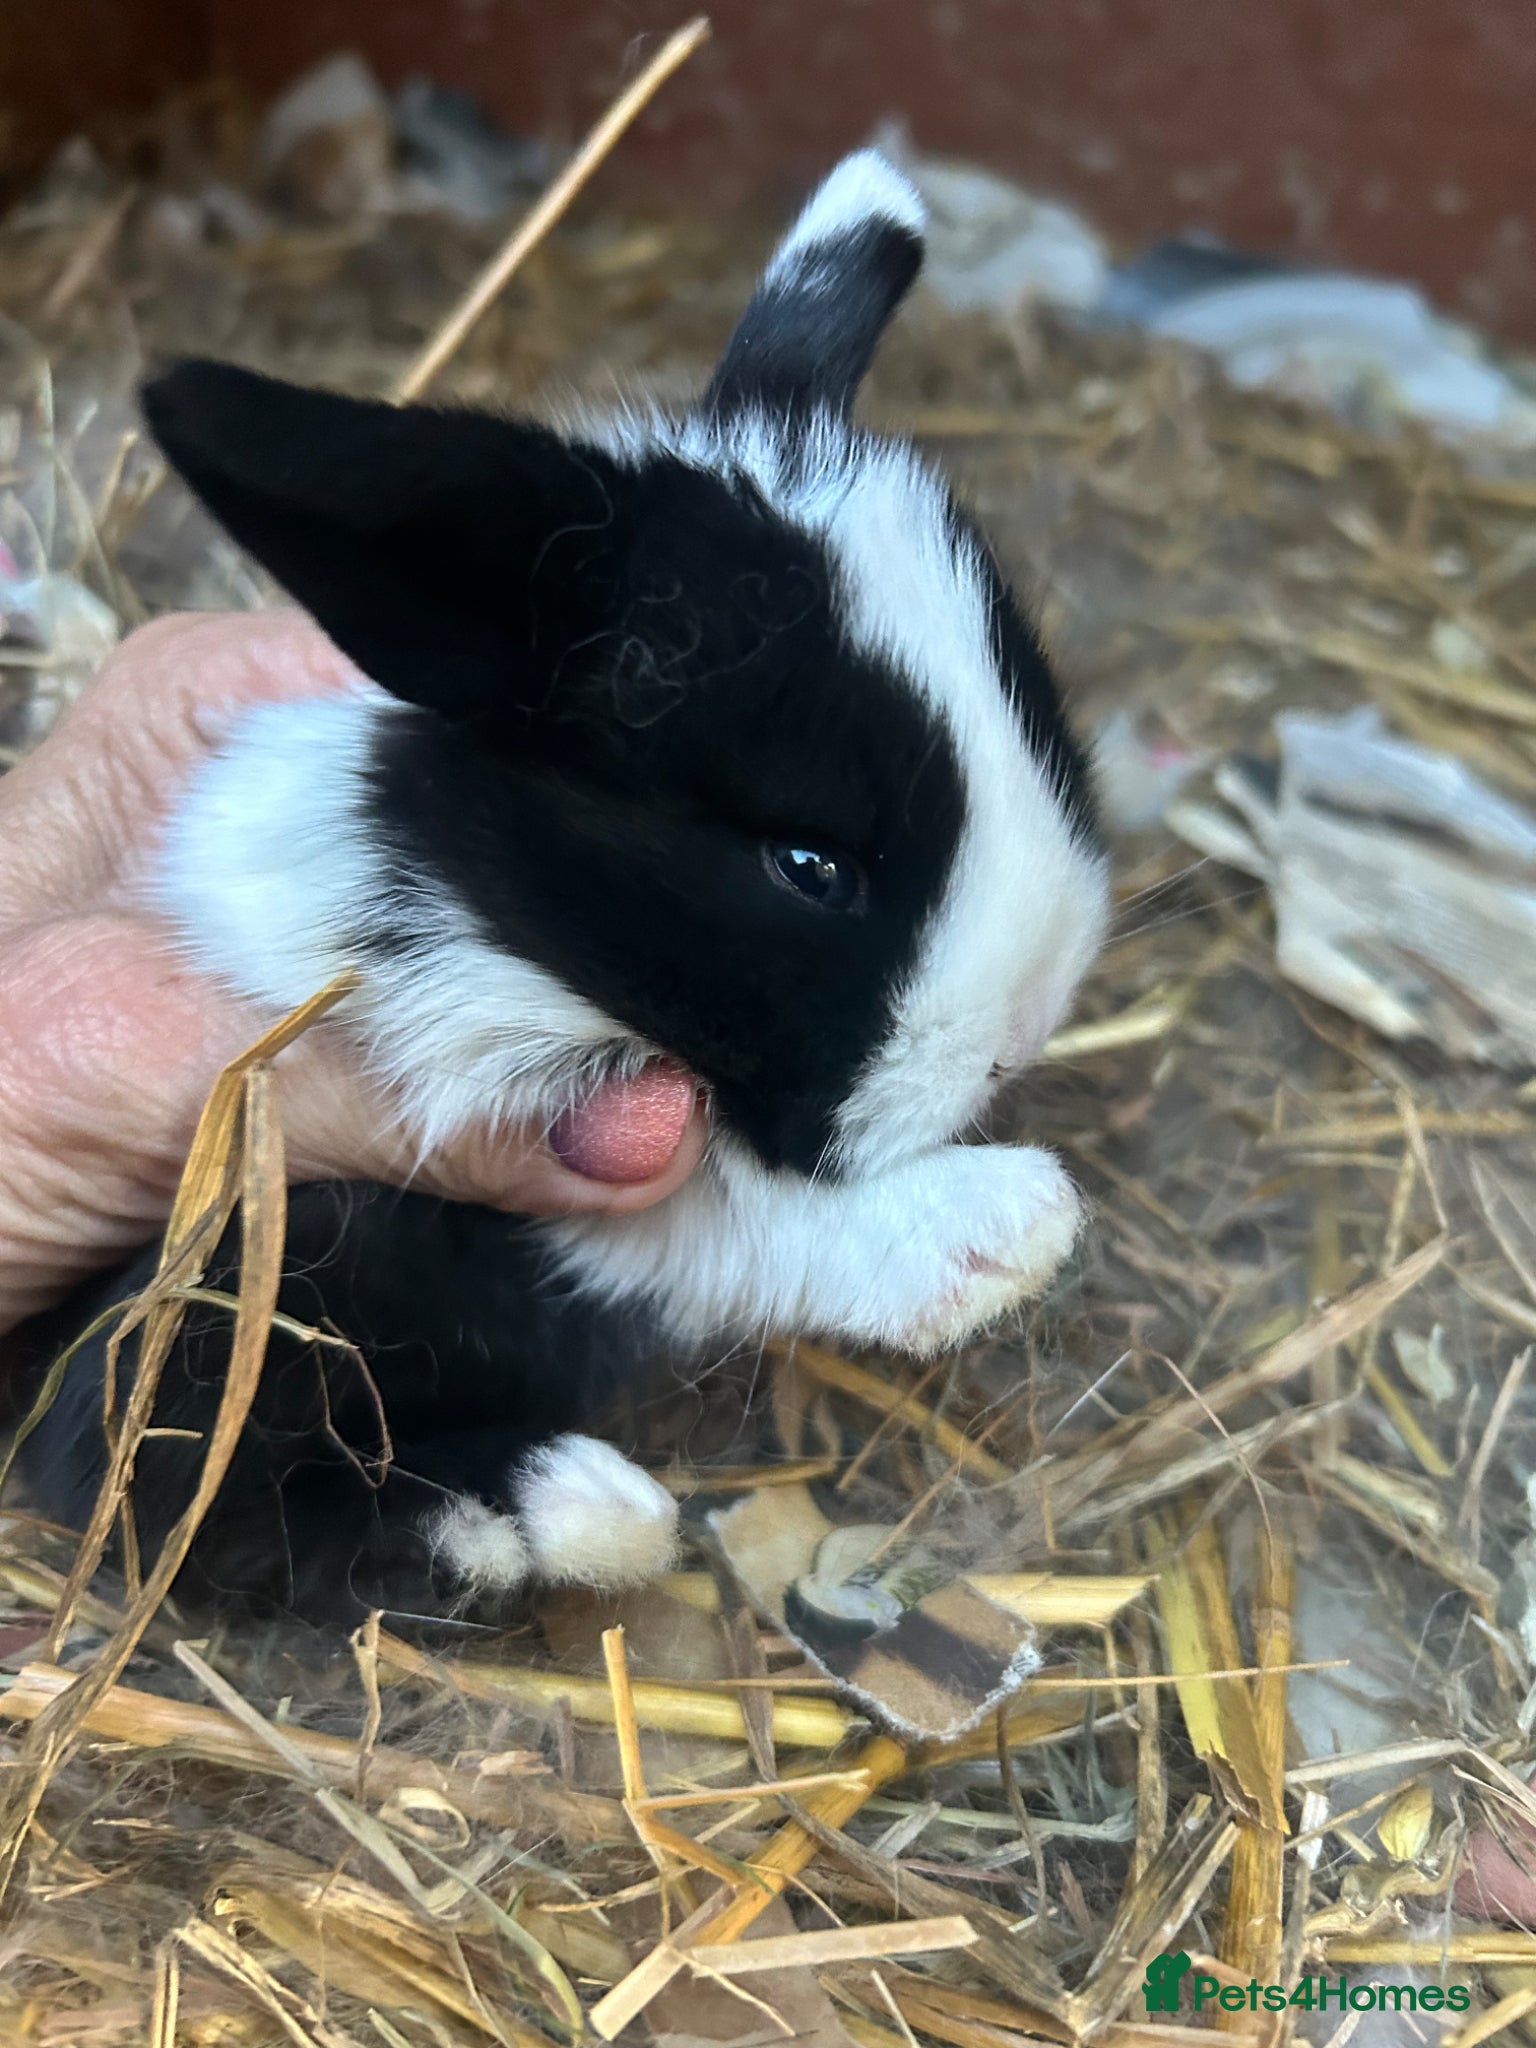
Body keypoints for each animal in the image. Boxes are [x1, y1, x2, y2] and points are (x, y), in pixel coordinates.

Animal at [15, 152, 1109, 1627]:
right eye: (807, 864)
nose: (1021, 1034)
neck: (499, 915)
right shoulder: (471, 1146)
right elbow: (713, 1213)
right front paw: (1000, 1230)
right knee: (162, 1491)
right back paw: (560, 1511)